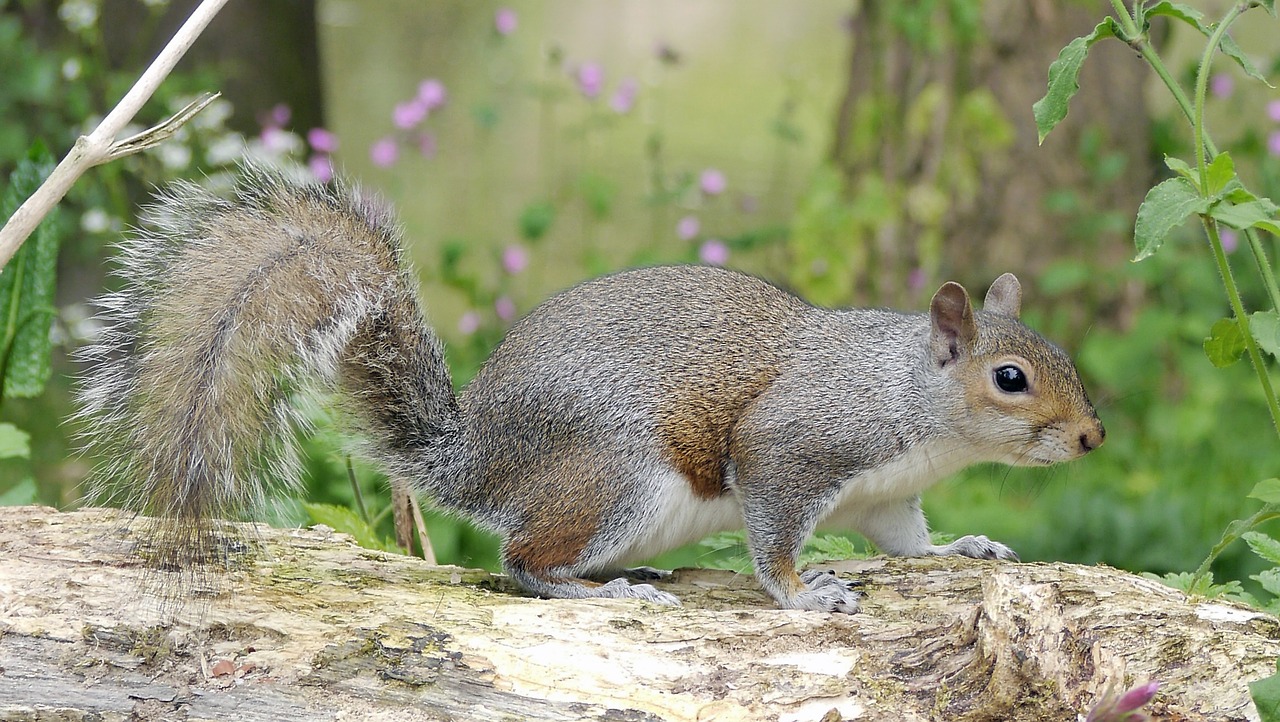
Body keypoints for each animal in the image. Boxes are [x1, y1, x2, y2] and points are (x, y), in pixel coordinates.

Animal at [77, 165, 1100, 614]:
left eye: (1060, 355)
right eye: (1011, 379)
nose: (1092, 439)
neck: (906, 398)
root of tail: (478, 461)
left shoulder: (887, 498)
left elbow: (911, 545)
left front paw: (966, 548)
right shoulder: (794, 446)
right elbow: (773, 535)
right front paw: (805, 593)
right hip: (614, 477)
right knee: (521, 563)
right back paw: (602, 593)